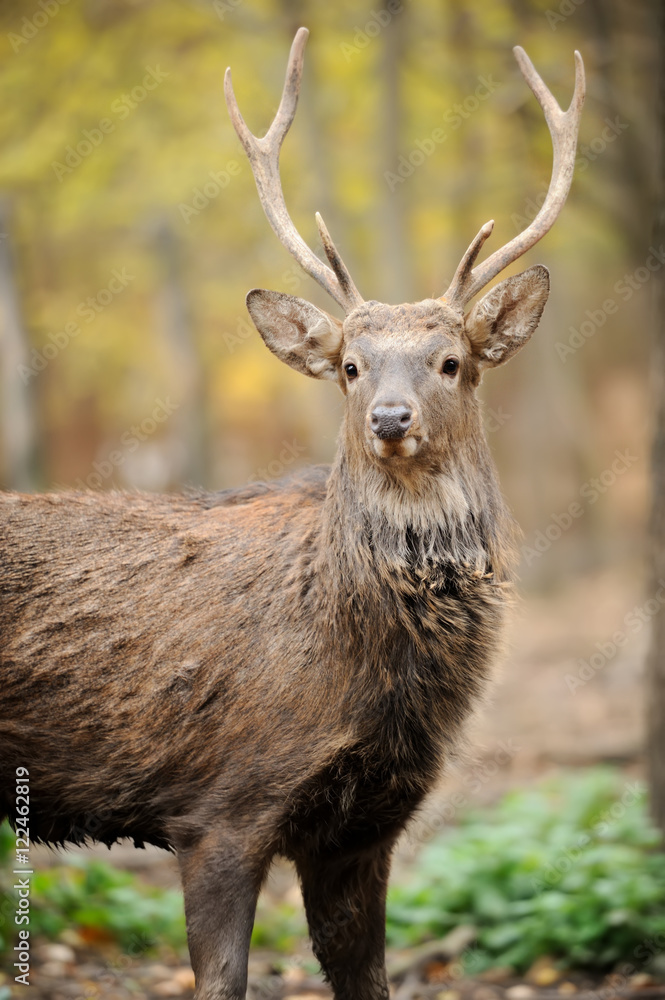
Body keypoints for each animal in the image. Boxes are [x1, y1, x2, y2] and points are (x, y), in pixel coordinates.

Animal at [0, 27, 580, 1000]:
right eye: (349, 365)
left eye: (451, 361)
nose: (390, 418)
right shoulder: (217, 807)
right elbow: (222, 979)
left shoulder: (367, 824)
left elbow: (368, 979)